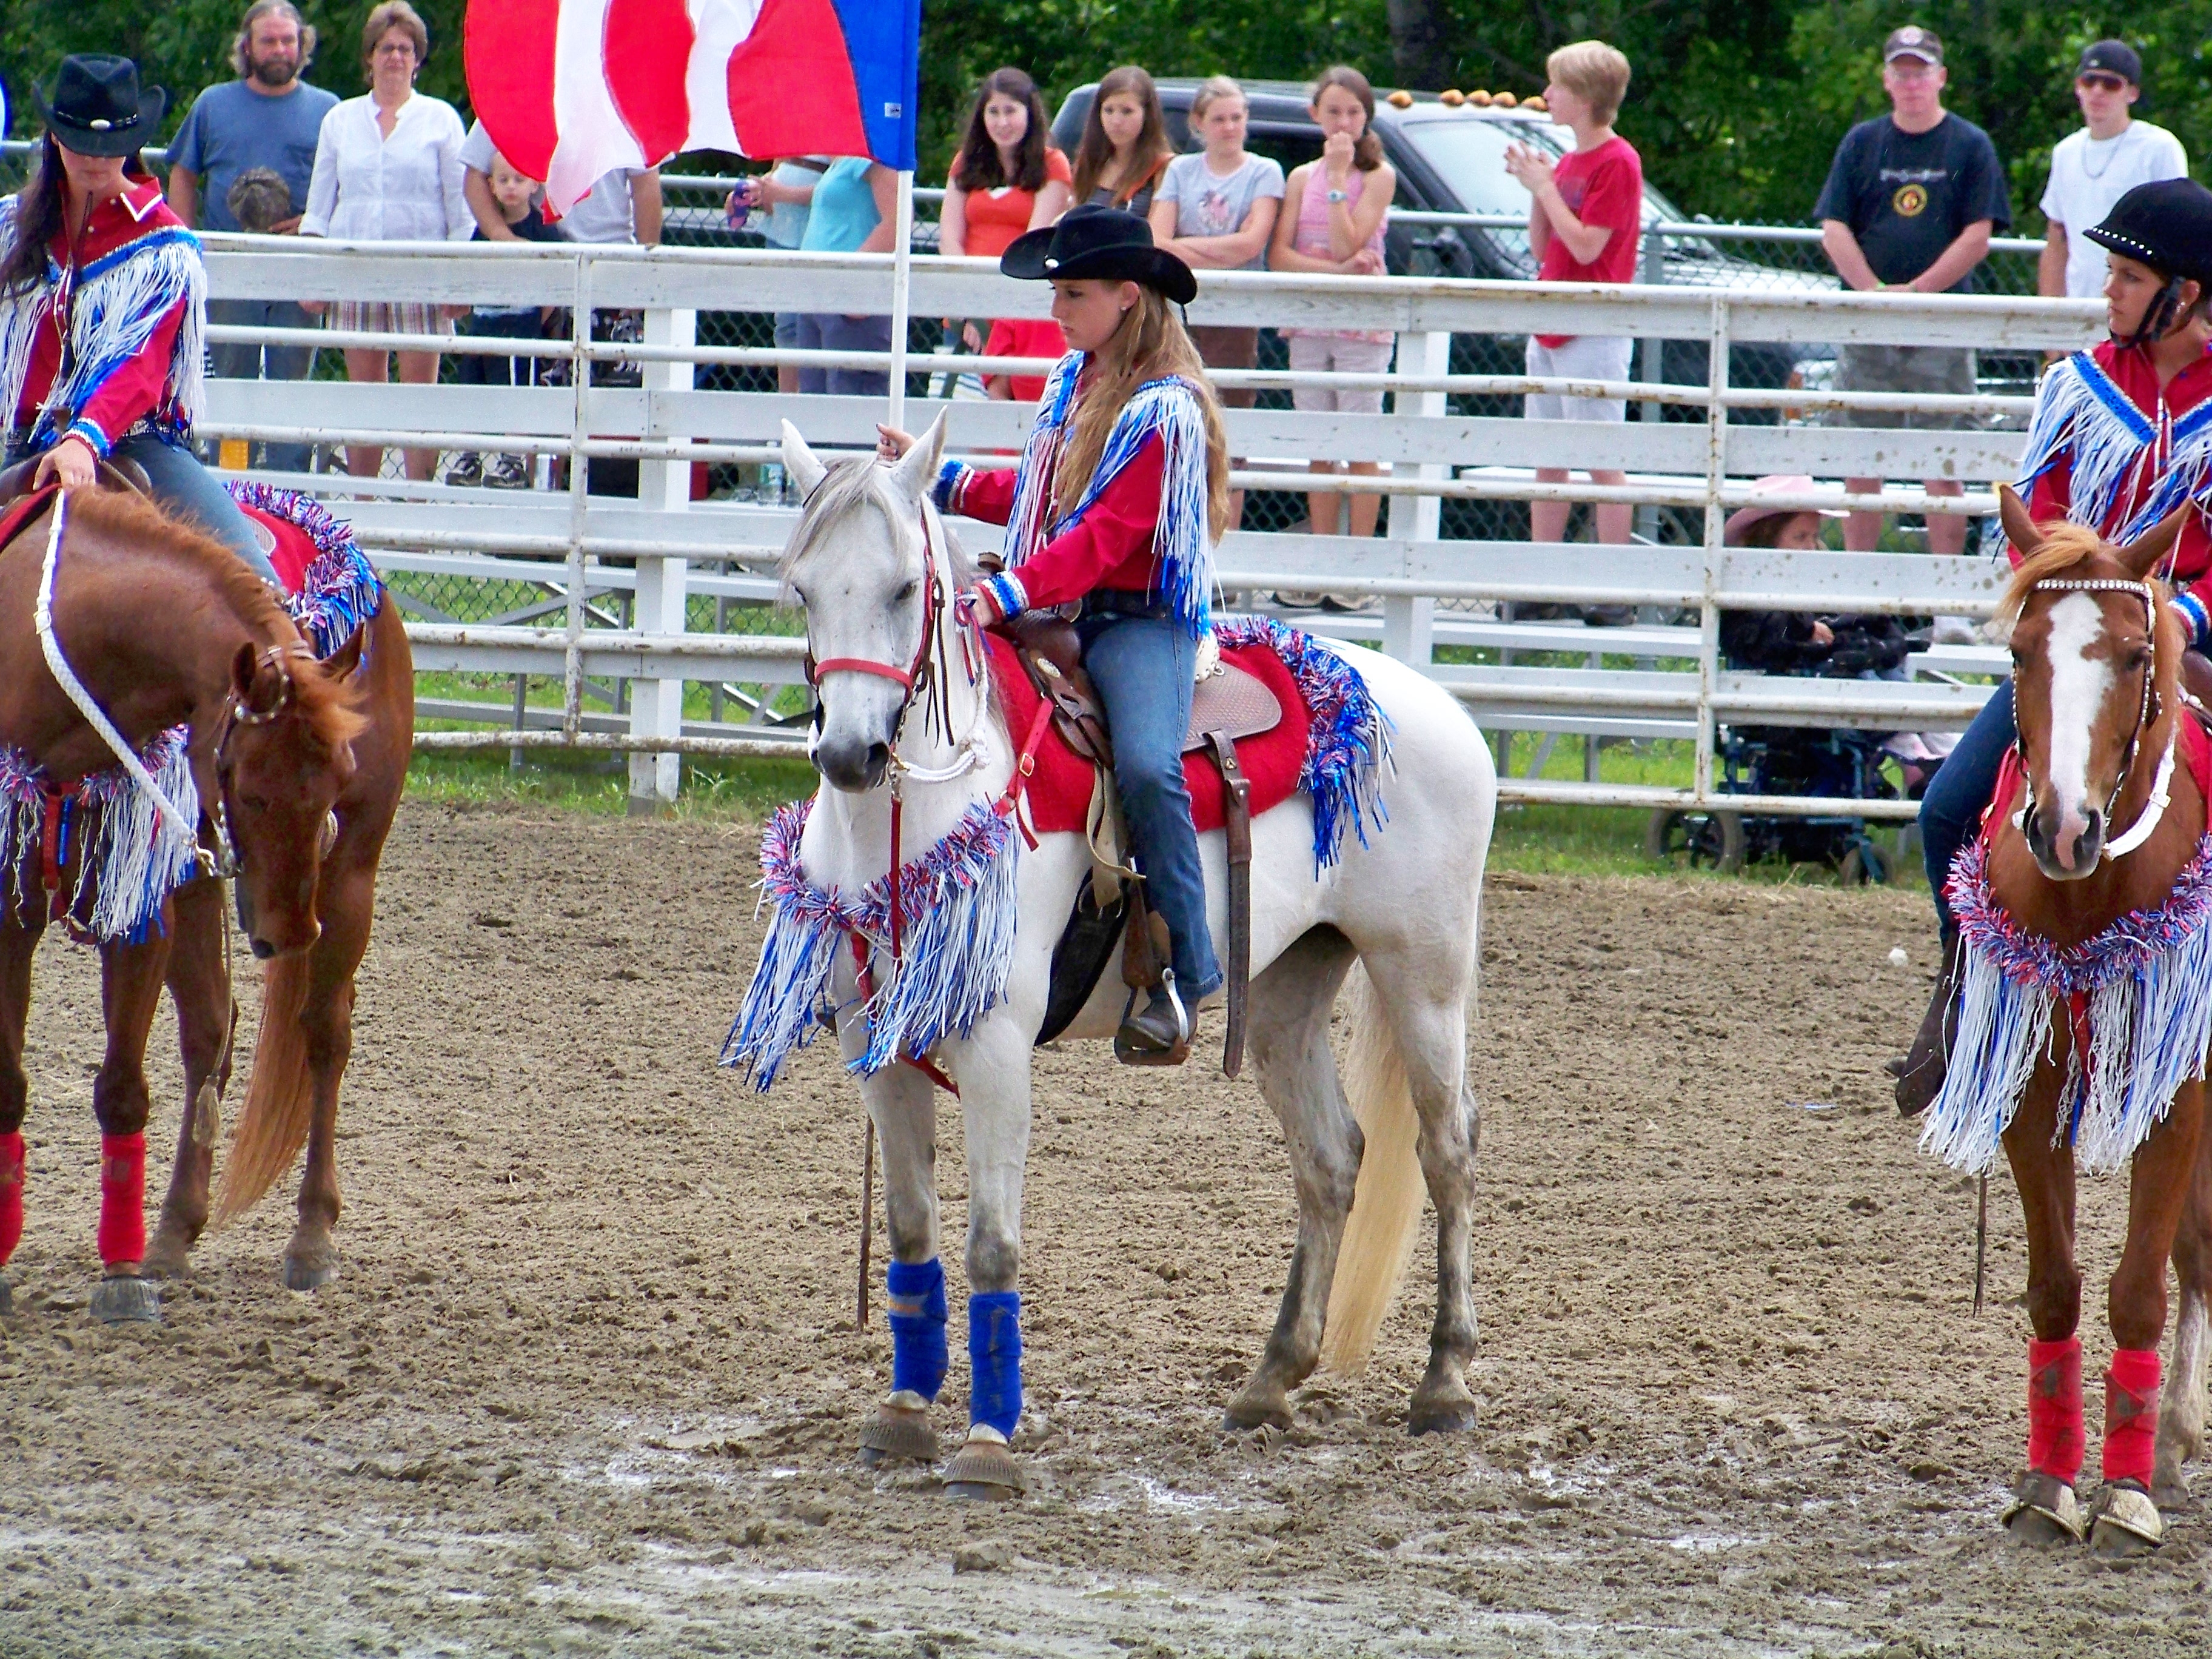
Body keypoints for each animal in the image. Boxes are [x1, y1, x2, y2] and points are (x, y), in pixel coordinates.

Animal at [0, 484, 414, 1327]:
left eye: (333, 777)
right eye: (249, 790)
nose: (289, 931)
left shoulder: (139, 910)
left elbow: (122, 1088)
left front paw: (121, 1279)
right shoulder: (7, 903)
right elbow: (8, 1084)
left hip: (350, 876)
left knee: (323, 1036)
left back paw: (311, 1236)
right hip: (204, 887)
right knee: (209, 1039)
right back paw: (173, 1232)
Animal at [734, 414, 1495, 1495]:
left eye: (903, 589)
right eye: (801, 588)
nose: (849, 755)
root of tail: (1443, 708)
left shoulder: (996, 1047)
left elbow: (992, 1244)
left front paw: (987, 1443)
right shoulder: (872, 1043)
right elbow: (915, 1232)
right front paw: (904, 1415)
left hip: (1424, 973)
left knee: (1446, 1149)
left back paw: (1444, 1384)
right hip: (1289, 987)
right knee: (1331, 1157)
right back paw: (1269, 1383)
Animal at [1920, 480, 2212, 1557]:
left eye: (2131, 655)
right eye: (2017, 652)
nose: (2064, 829)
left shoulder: (2180, 1087)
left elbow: (2140, 1284)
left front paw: (2123, 1493)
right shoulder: (2031, 1078)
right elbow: (2055, 1282)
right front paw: (2048, 1483)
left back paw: (2166, 1443)